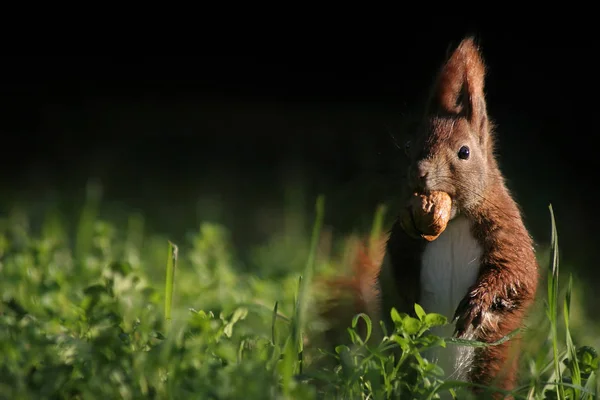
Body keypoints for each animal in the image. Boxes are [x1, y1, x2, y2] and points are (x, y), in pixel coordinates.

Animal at [318, 36, 540, 396]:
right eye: (410, 146)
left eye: (464, 151)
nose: (420, 172)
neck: (455, 221)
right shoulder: (403, 236)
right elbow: (394, 271)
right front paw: (406, 300)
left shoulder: (507, 231)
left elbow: (516, 273)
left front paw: (478, 304)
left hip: (493, 368)